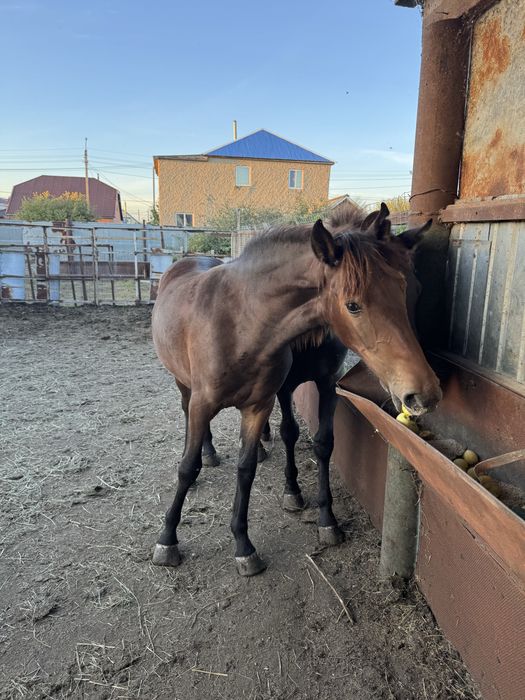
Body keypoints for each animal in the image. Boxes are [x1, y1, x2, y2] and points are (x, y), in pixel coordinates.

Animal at [151, 203, 441, 576]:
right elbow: (187, 468)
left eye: (410, 288)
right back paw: (209, 451)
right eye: (352, 305)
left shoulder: (262, 404)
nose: (424, 392)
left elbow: (248, 469)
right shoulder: (209, 401)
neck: (240, 324)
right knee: (188, 417)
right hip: (185, 385)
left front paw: (245, 545)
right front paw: (167, 538)